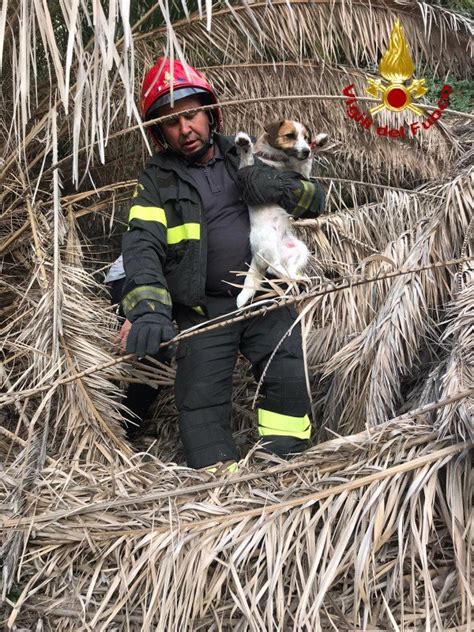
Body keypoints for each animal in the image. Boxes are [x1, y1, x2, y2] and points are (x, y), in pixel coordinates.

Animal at [235, 121, 328, 308]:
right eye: (290, 136)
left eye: (306, 137)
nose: (306, 150)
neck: (278, 161)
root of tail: (256, 255)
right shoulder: (248, 176)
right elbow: (247, 161)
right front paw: (244, 144)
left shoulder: (301, 176)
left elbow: (307, 164)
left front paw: (318, 142)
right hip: (269, 240)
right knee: (273, 269)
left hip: (300, 250)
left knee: (287, 271)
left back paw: (300, 278)